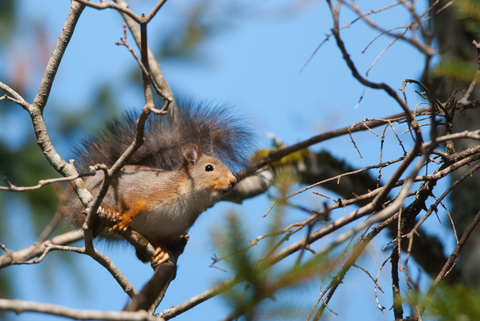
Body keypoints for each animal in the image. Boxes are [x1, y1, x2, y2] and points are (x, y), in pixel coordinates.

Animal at [65, 99, 256, 262]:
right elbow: (133, 201)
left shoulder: (170, 229)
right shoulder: (149, 189)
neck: (189, 200)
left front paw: (163, 251)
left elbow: (160, 240)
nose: (233, 181)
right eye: (209, 168)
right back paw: (108, 210)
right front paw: (126, 217)